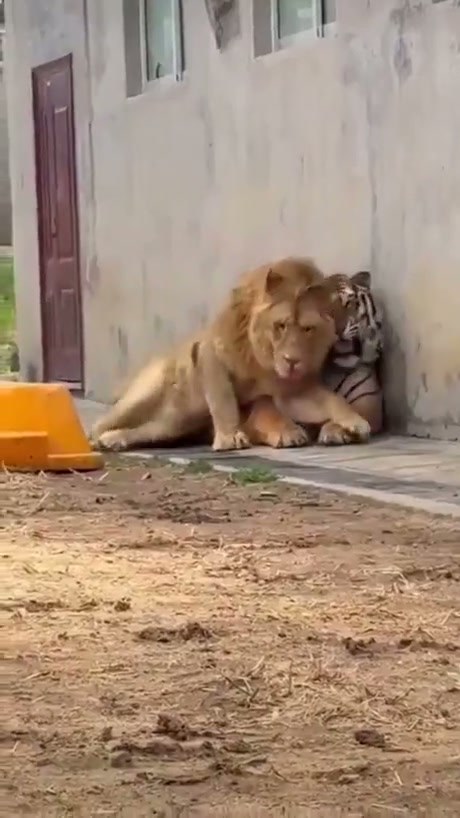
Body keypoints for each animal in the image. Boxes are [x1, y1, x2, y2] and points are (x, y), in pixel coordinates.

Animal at [90, 257, 371, 452]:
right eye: (280, 325)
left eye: (307, 329)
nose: (292, 361)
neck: (265, 362)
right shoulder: (211, 354)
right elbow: (222, 398)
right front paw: (230, 438)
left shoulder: (291, 391)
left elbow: (331, 400)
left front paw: (355, 422)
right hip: (144, 395)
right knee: (102, 422)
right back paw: (95, 441)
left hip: (172, 424)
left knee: (143, 431)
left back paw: (113, 440)